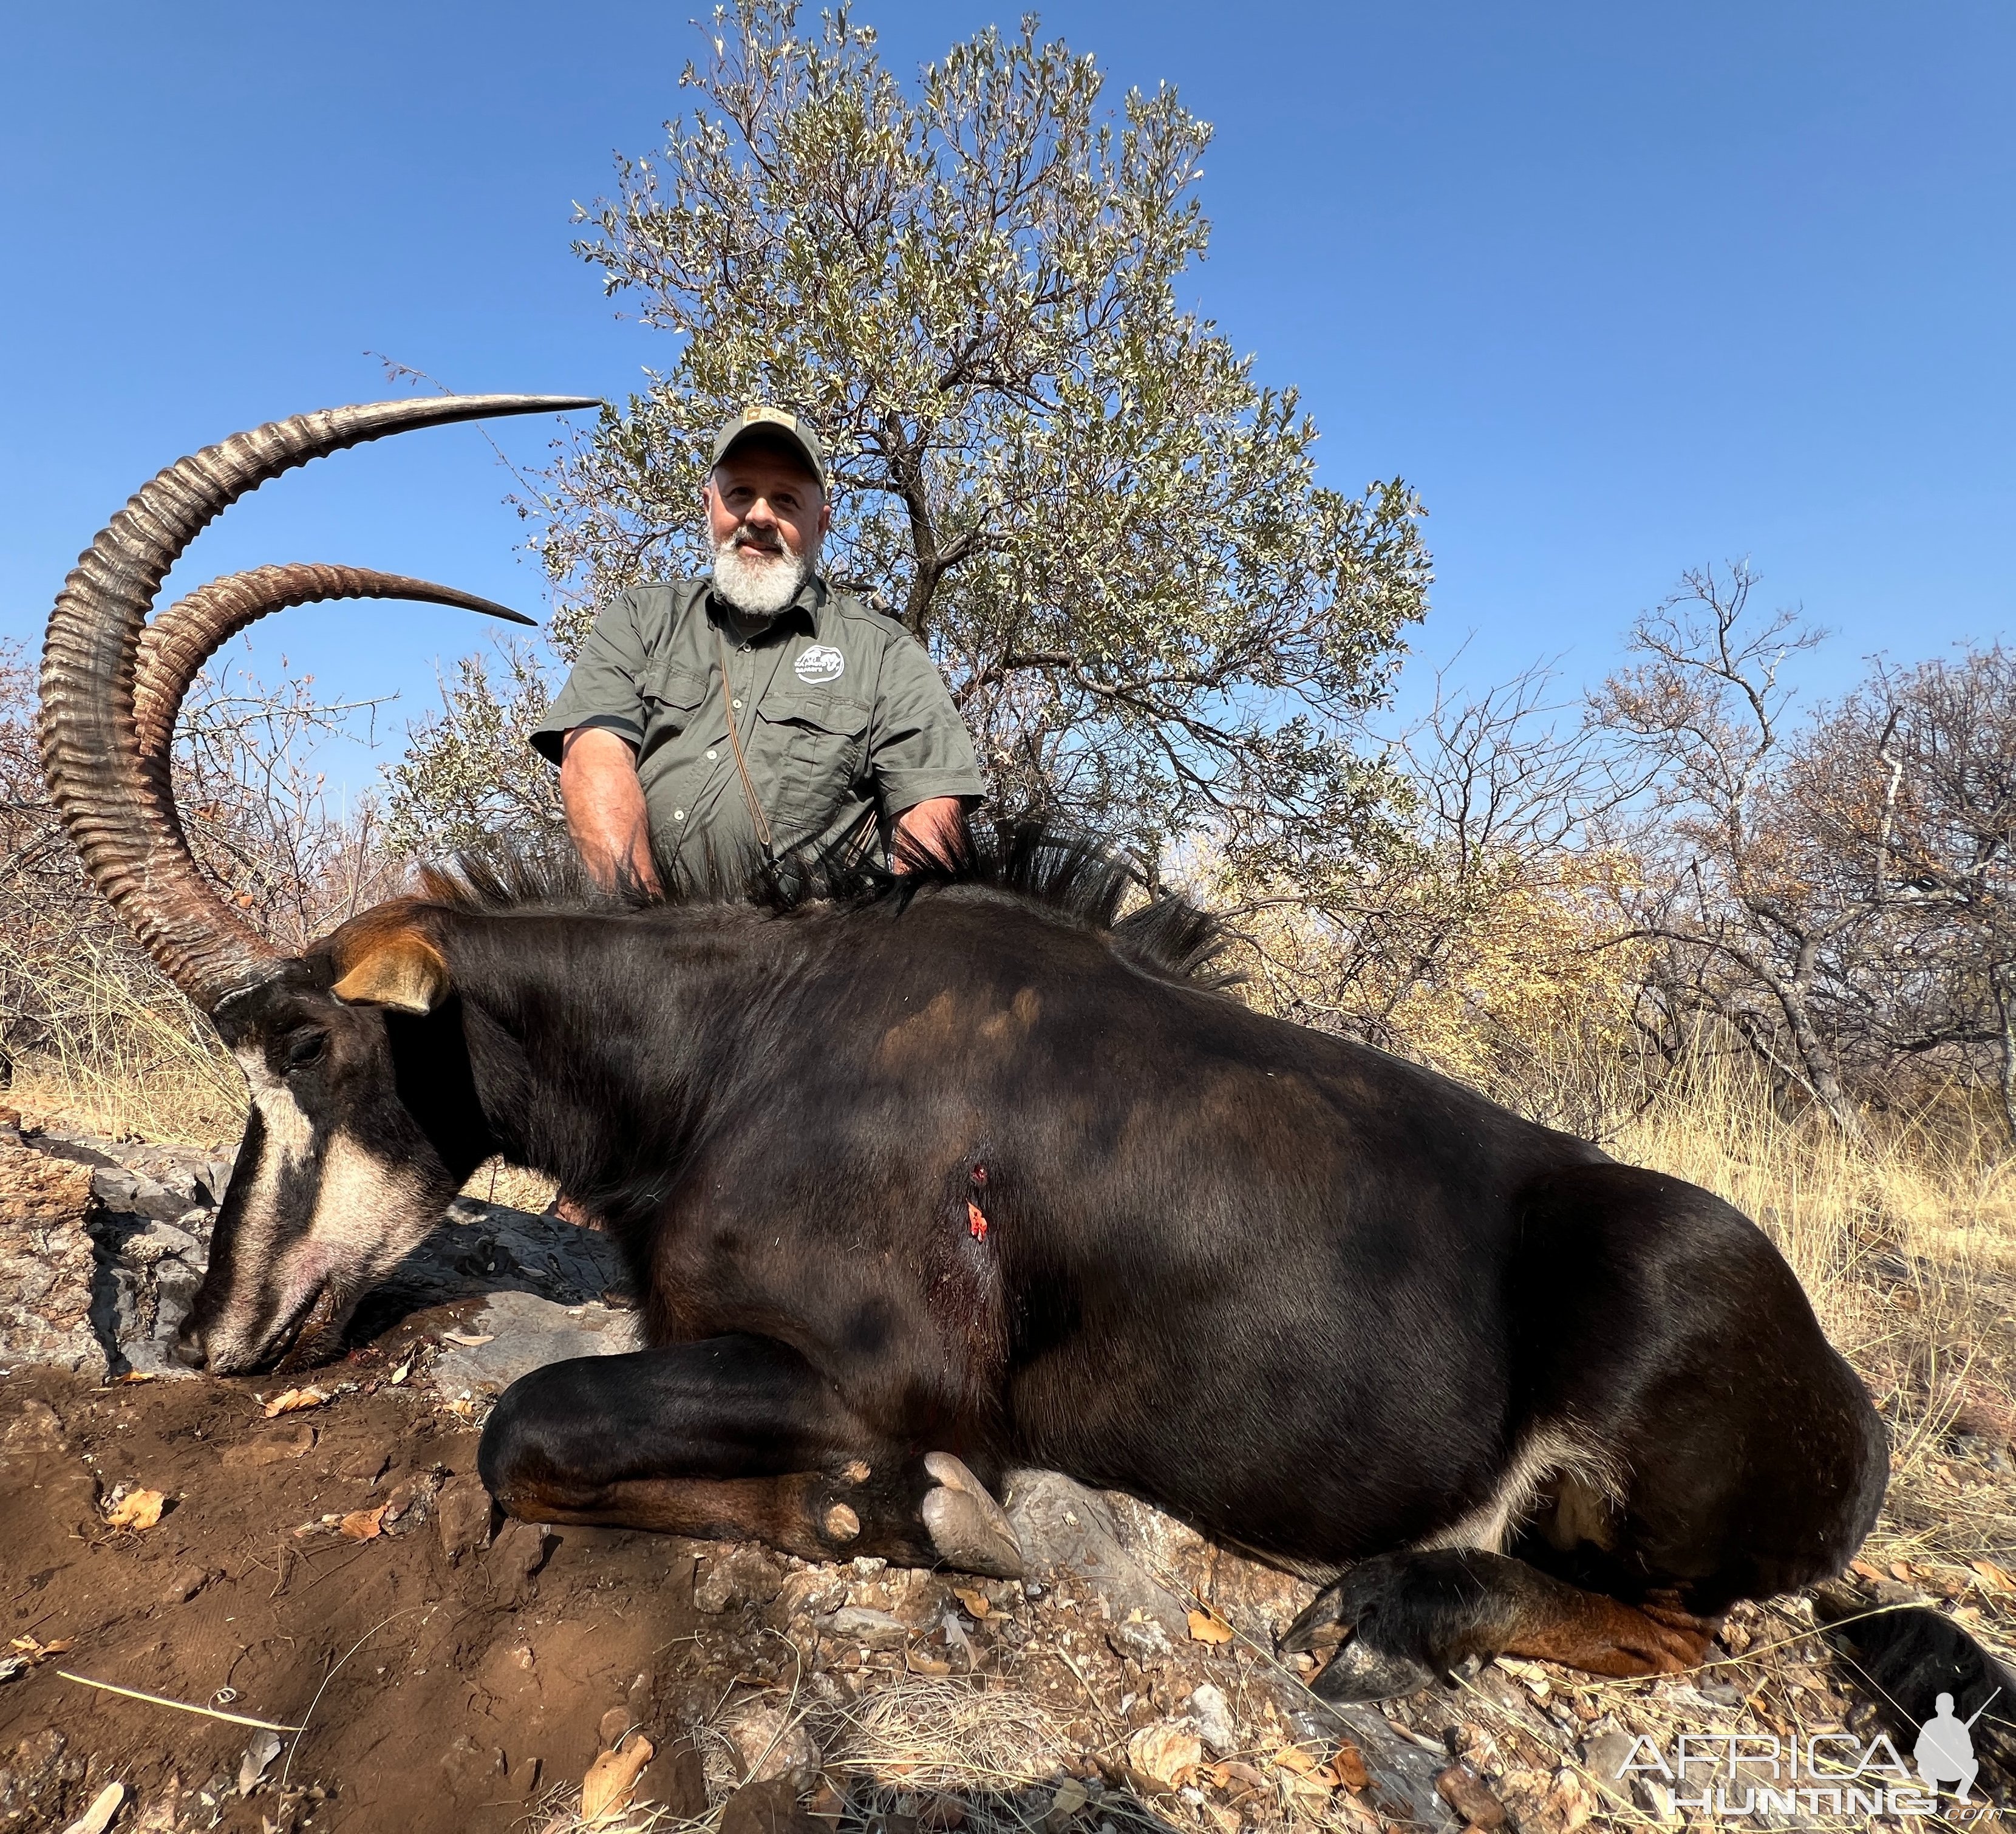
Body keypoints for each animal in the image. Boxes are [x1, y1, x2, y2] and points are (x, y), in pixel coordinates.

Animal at [39, 403, 2007, 1749]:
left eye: (305, 1043)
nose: (212, 1333)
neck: (743, 1042)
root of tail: (1855, 1420)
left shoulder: (857, 1372)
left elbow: (525, 1429)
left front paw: (917, 1513)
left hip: (1652, 1402)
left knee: (1679, 1628)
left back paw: (1386, 1607)